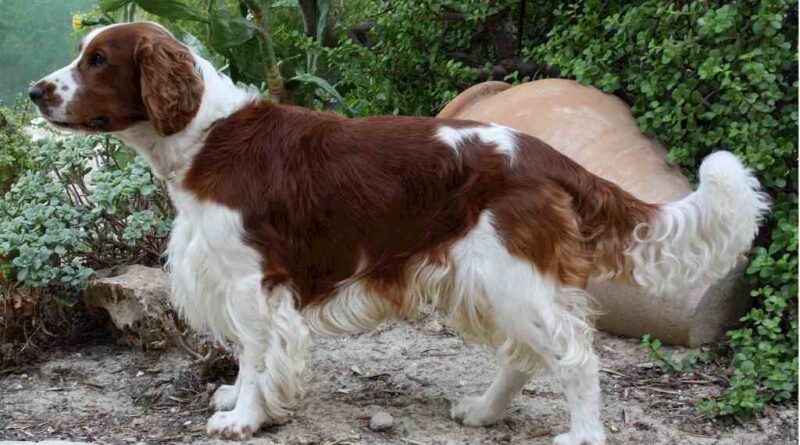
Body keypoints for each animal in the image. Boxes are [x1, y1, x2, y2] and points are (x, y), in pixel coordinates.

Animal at [29, 22, 768, 442]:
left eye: (98, 60)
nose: (35, 91)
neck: (206, 135)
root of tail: (547, 154)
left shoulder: (249, 281)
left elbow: (257, 354)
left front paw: (243, 417)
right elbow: (246, 358)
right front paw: (242, 400)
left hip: (509, 274)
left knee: (575, 358)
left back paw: (582, 435)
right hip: (490, 280)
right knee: (525, 355)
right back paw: (484, 411)